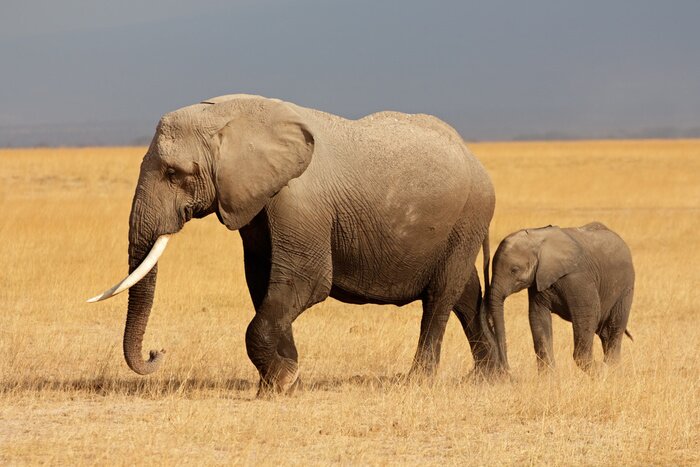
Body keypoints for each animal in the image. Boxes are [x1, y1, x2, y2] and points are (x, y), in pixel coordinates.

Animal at [88, 94, 502, 394]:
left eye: (175, 174)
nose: (157, 352)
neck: (232, 115)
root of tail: (476, 159)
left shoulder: (299, 201)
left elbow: (305, 282)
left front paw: (281, 383)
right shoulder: (255, 202)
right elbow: (263, 284)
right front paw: (284, 378)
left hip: (469, 215)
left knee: (440, 297)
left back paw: (419, 380)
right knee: (465, 293)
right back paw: (489, 377)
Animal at [484, 222, 634, 373]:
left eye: (514, 270)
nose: (506, 369)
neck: (538, 238)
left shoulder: (578, 278)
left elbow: (588, 315)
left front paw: (599, 371)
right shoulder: (538, 281)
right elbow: (538, 318)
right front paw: (548, 376)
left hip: (626, 288)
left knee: (615, 327)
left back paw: (612, 369)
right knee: (605, 332)